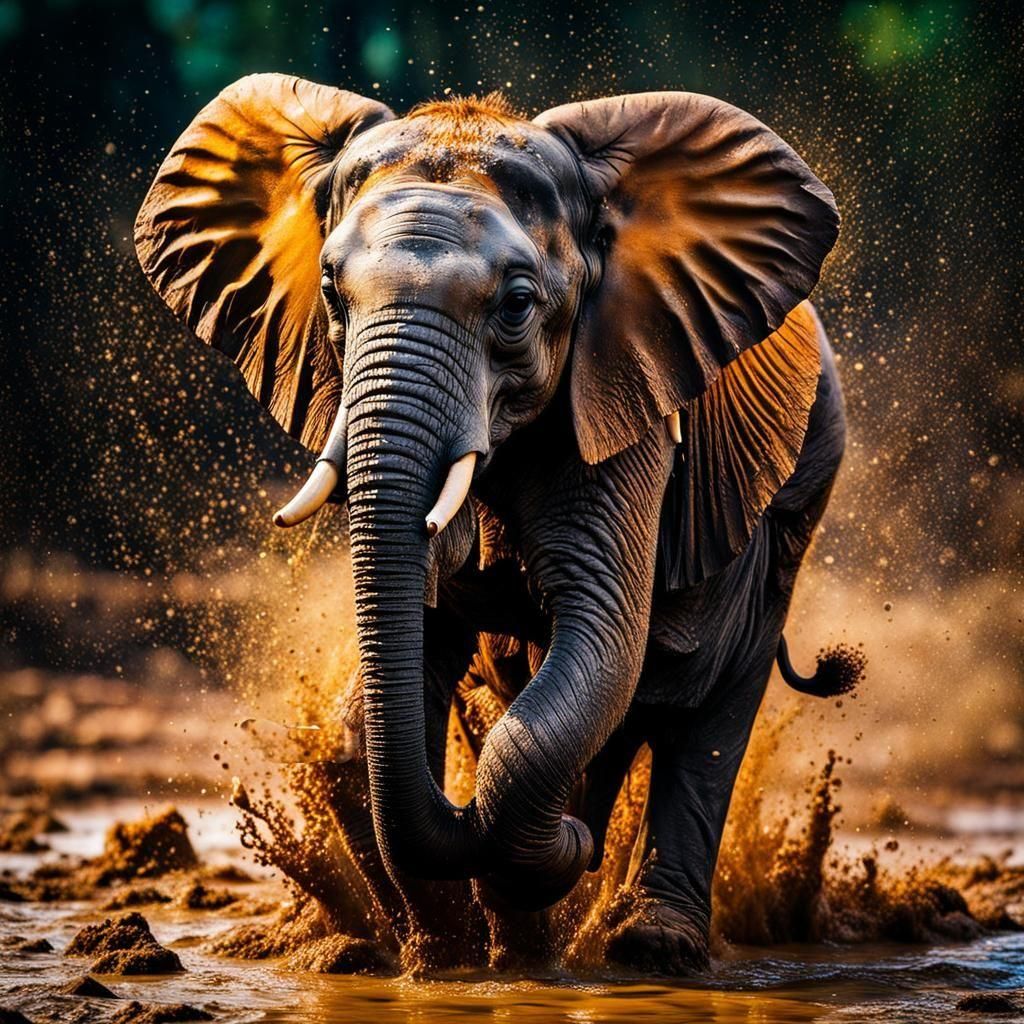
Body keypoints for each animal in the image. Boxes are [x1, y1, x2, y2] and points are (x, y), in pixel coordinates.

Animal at [134, 74, 861, 975]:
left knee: (707, 709)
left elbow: (597, 638)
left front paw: (534, 880)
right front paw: (447, 953)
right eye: (332, 292)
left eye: (517, 305)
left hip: (803, 493)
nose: (578, 842)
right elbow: (389, 691)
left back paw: (644, 946)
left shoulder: (620, 395)